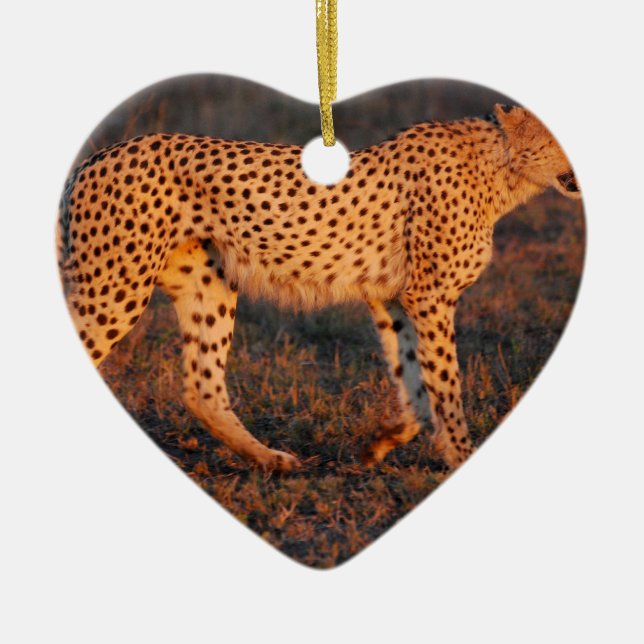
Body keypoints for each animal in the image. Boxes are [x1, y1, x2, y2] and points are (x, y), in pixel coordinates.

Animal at [57, 103, 581, 472]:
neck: (501, 165)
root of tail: (95, 157)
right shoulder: (428, 297)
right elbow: (446, 384)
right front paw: (461, 454)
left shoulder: (392, 298)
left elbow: (414, 379)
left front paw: (383, 442)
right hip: (116, 287)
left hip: (208, 284)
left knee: (201, 388)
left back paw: (272, 460)